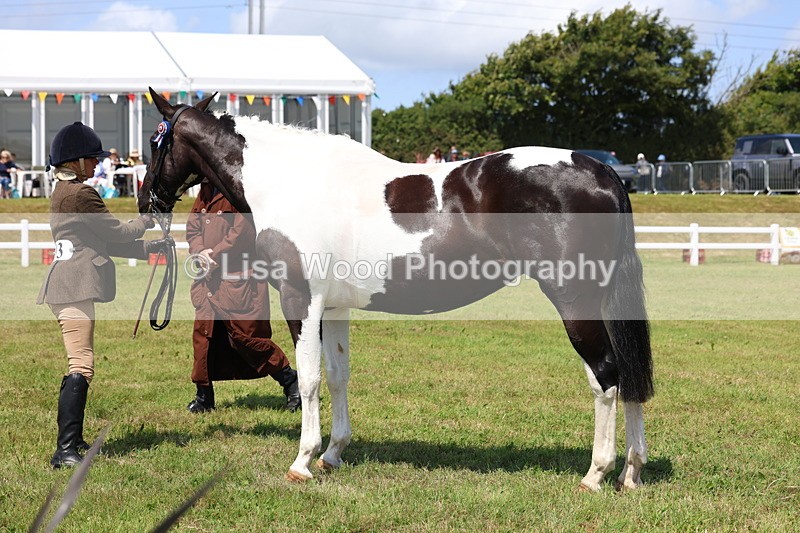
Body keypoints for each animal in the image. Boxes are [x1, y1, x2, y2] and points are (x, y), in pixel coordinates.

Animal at [139, 88, 654, 491]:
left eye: (153, 140)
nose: (147, 202)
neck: (291, 183)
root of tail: (601, 171)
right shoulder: (334, 309)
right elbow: (338, 375)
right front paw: (333, 454)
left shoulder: (300, 299)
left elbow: (309, 379)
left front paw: (303, 461)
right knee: (628, 374)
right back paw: (631, 473)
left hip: (575, 301)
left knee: (606, 375)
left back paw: (596, 473)